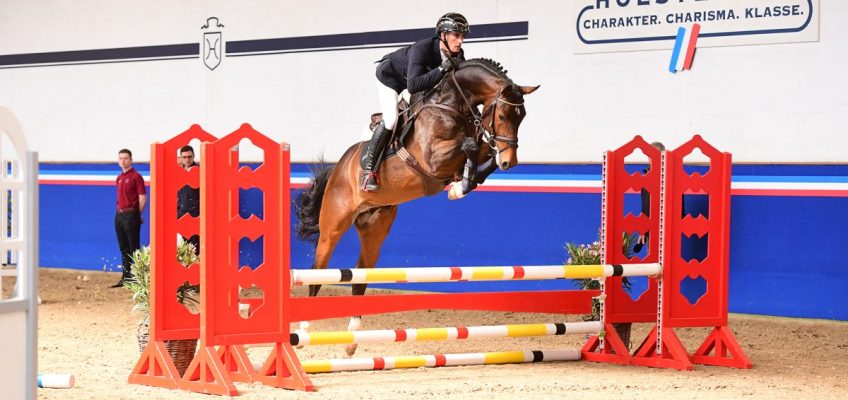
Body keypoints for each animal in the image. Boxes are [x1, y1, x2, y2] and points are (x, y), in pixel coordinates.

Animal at [294, 57, 540, 354]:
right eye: (503, 116)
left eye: (522, 117)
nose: (510, 162)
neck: (453, 103)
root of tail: (338, 168)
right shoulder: (433, 158)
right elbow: (470, 145)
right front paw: (460, 184)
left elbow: (481, 151)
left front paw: (463, 184)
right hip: (333, 225)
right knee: (317, 272)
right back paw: (303, 331)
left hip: (375, 228)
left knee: (360, 274)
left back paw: (352, 340)